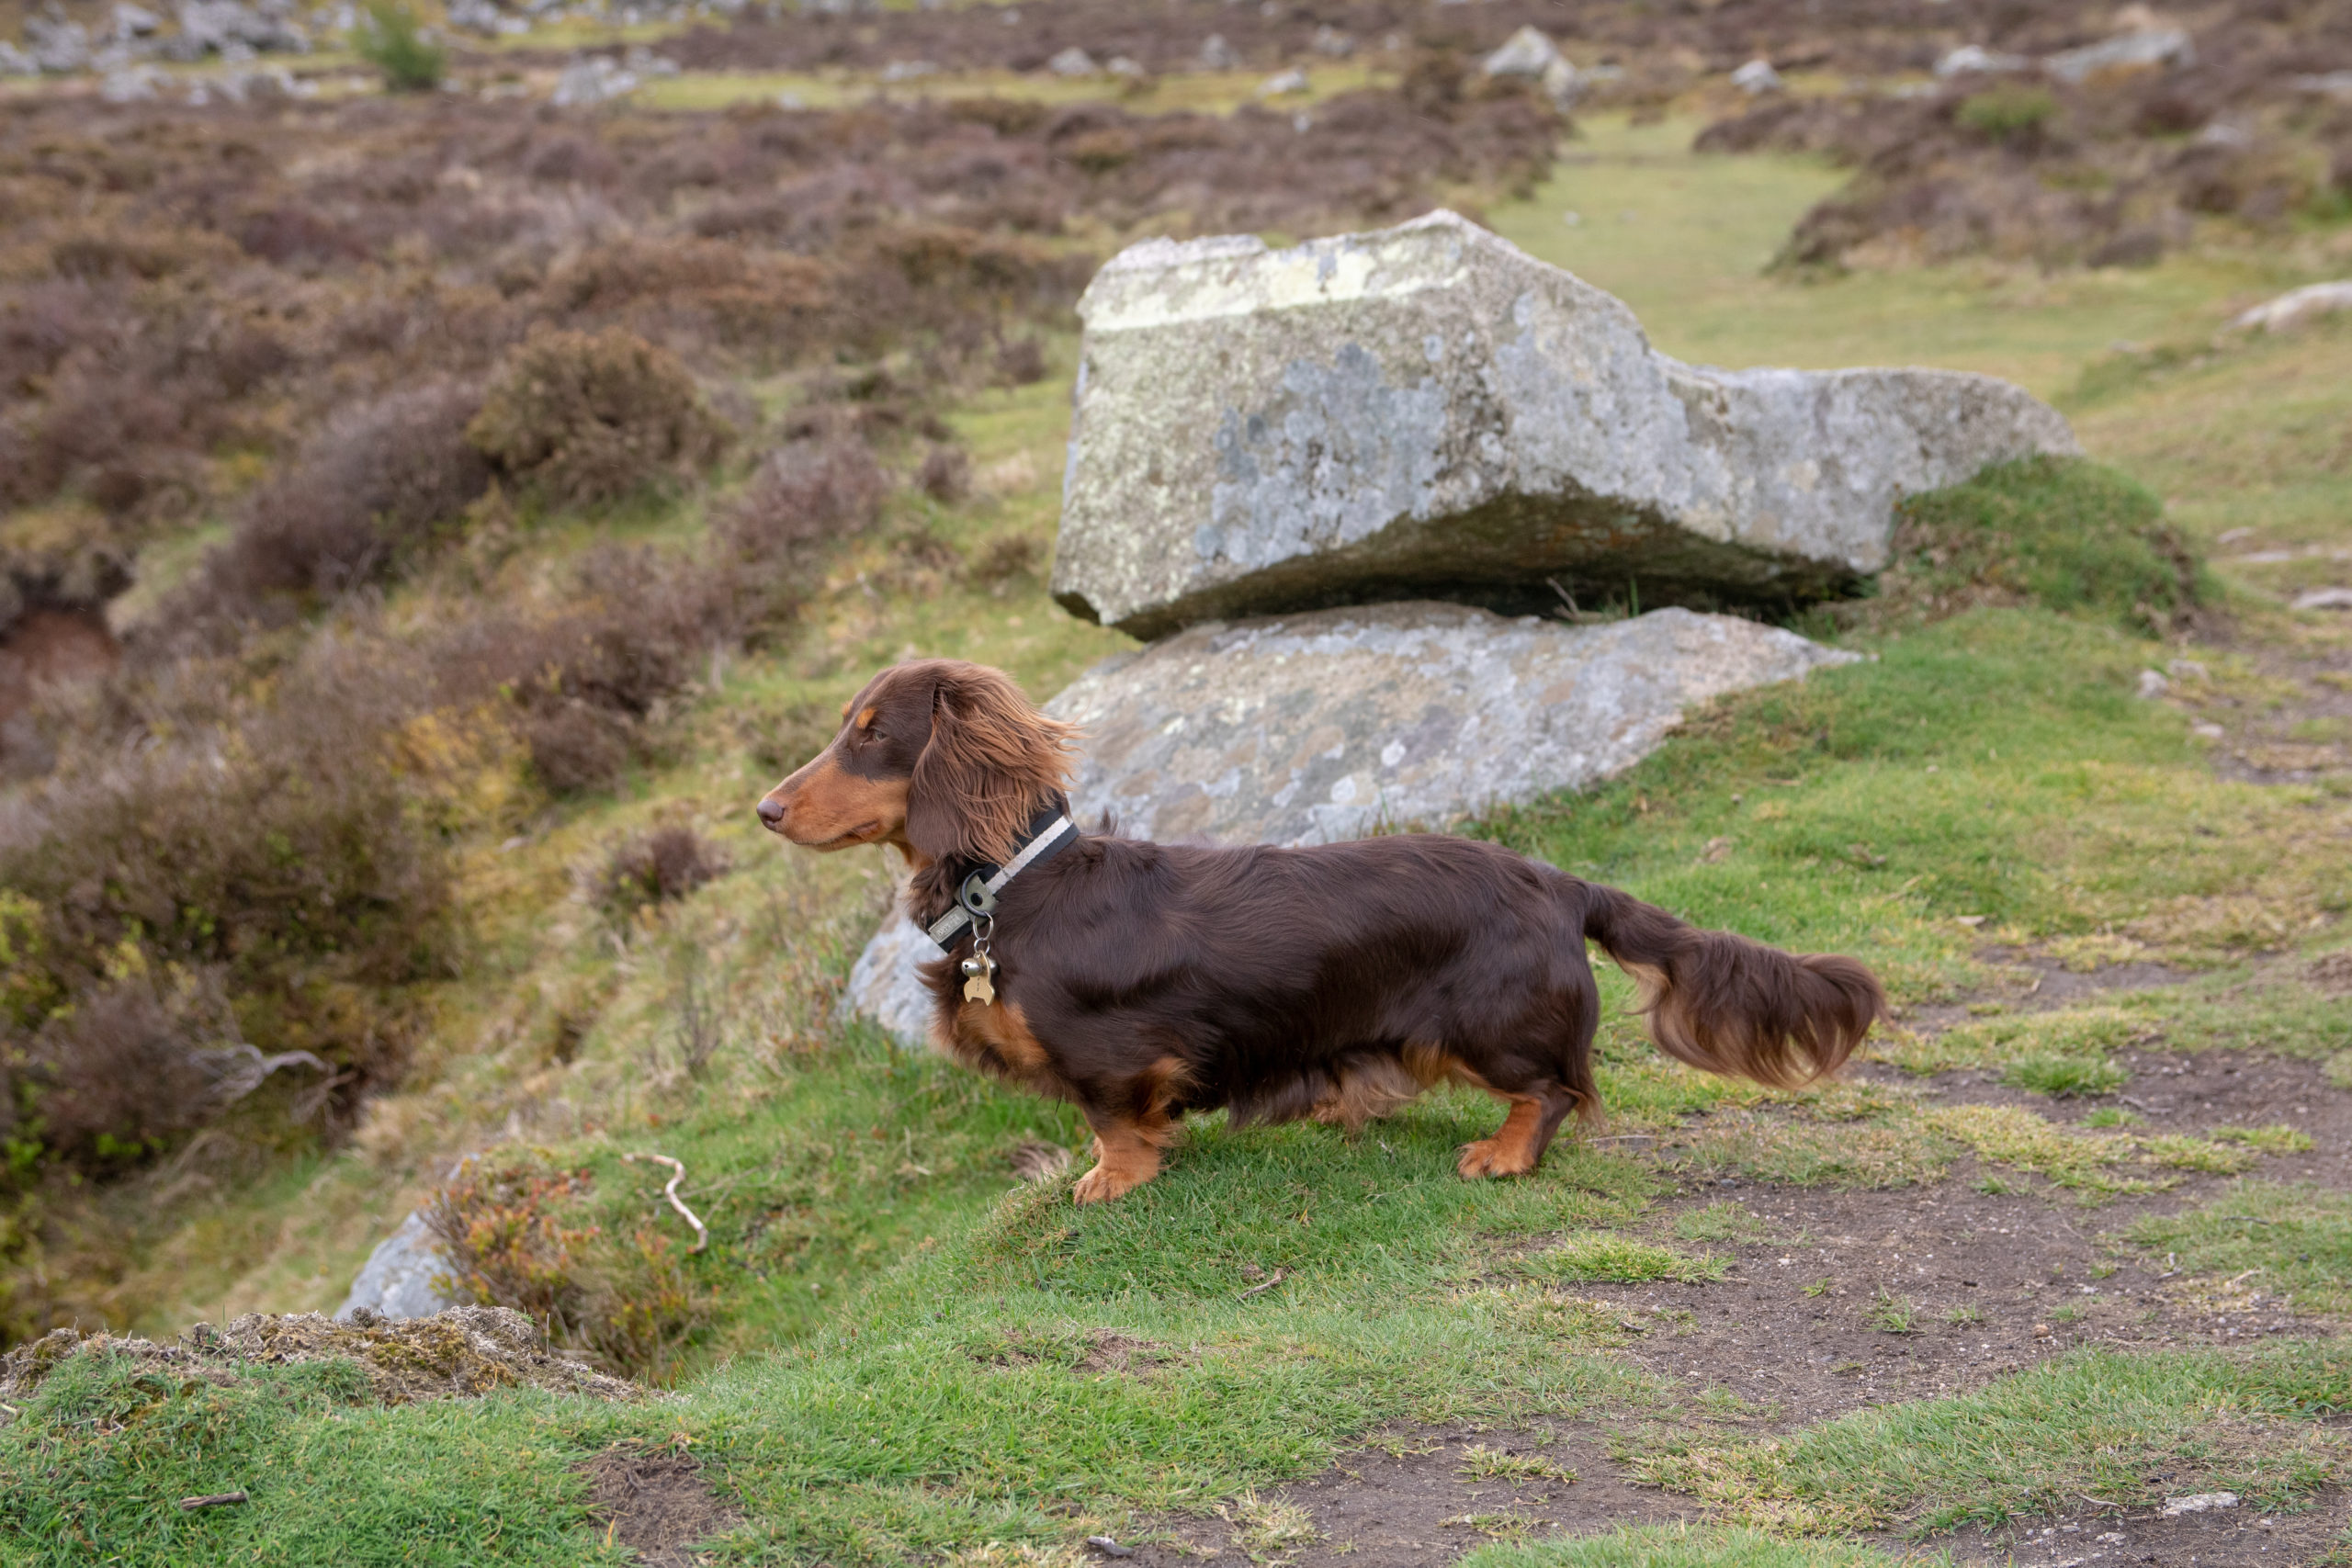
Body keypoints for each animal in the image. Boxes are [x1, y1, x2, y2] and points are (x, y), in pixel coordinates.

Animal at [762, 658, 1882, 1213]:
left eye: (871, 733)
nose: (765, 811)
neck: (1017, 889)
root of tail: (1559, 882)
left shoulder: (1114, 1056)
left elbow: (1115, 1122)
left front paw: (1108, 1180)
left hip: (1482, 1027)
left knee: (1554, 1089)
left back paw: (1501, 1155)